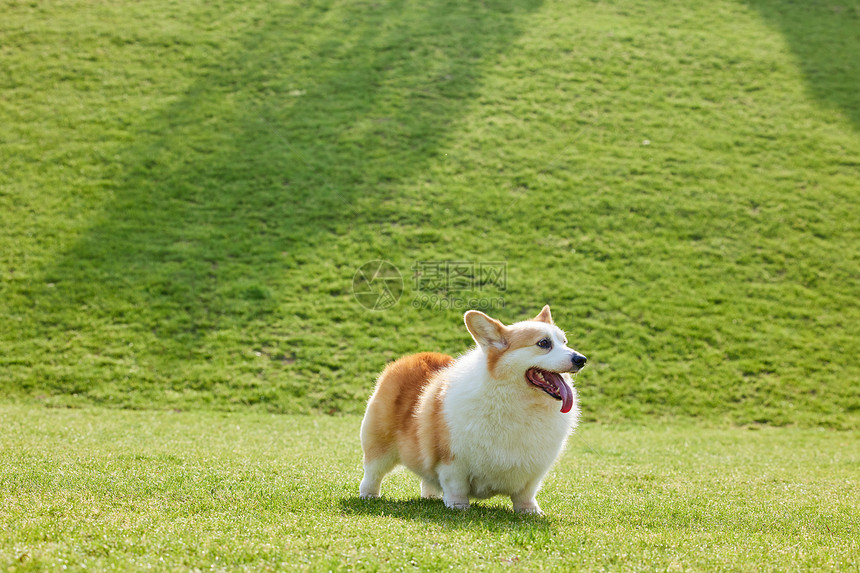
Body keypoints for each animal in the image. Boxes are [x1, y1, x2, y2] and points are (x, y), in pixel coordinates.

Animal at [360, 304, 588, 512]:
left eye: (564, 342)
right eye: (543, 343)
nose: (581, 359)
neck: (520, 403)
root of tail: (410, 357)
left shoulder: (534, 470)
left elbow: (526, 493)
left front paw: (530, 511)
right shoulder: (452, 460)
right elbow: (456, 487)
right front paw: (458, 506)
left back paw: (431, 497)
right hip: (378, 444)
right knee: (372, 473)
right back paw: (369, 496)